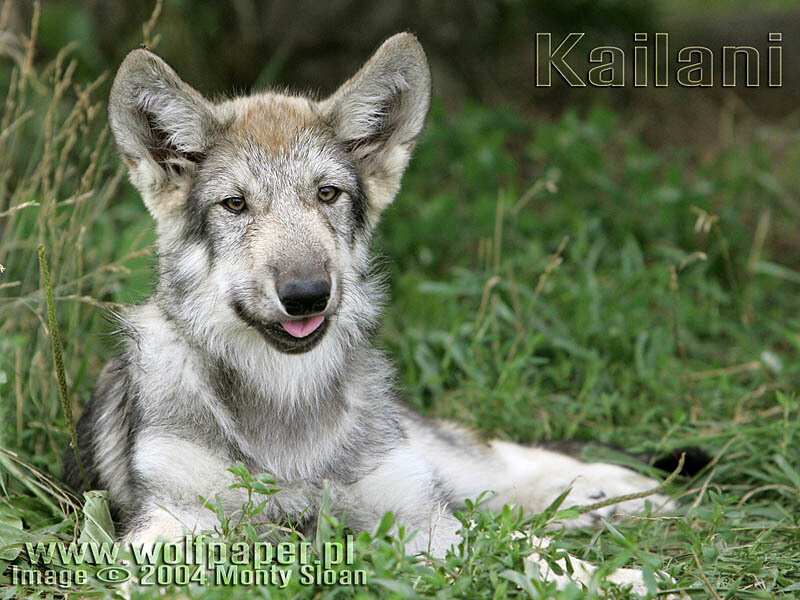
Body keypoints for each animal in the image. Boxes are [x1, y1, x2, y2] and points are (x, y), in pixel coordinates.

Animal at [64, 33, 675, 571]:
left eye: (327, 194)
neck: (287, 400)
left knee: (508, 464)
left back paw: (628, 493)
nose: (306, 294)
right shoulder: (174, 517)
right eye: (235, 205)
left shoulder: (418, 513)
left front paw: (623, 579)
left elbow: (520, 550)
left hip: (434, 460)